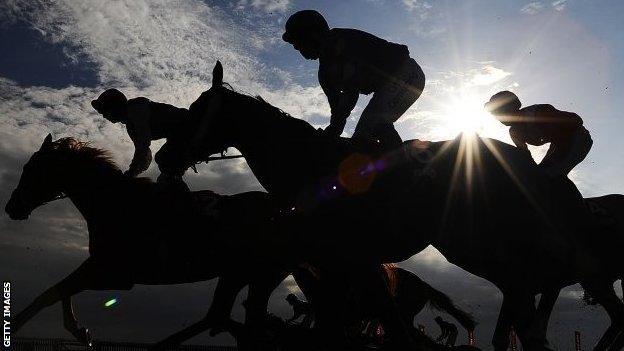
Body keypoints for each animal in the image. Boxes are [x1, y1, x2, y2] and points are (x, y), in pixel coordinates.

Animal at [157, 60, 620, 350]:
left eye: (197, 110)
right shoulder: (337, 263)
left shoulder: (343, 260)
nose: (163, 157)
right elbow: (360, 320)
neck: (310, 166)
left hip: (478, 243)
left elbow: (366, 323)